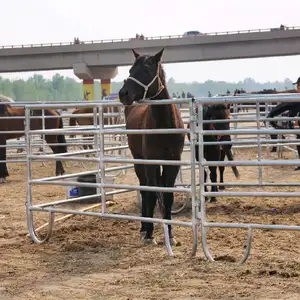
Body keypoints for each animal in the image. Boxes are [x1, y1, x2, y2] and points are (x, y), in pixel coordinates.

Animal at [118, 48, 185, 246]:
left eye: (147, 70)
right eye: (131, 69)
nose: (123, 94)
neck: (164, 125)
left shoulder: (172, 162)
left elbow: (168, 196)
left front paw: (170, 233)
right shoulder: (151, 162)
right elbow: (152, 193)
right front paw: (149, 233)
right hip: (139, 161)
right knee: (145, 188)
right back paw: (144, 227)